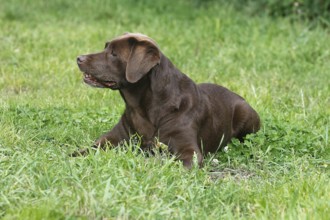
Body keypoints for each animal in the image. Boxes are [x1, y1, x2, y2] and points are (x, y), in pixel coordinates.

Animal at [74, 32, 260, 168]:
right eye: (106, 47)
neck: (142, 107)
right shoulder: (113, 138)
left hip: (246, 115)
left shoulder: (189, 152)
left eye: (113, 54)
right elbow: (88, 149)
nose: (79, 58)